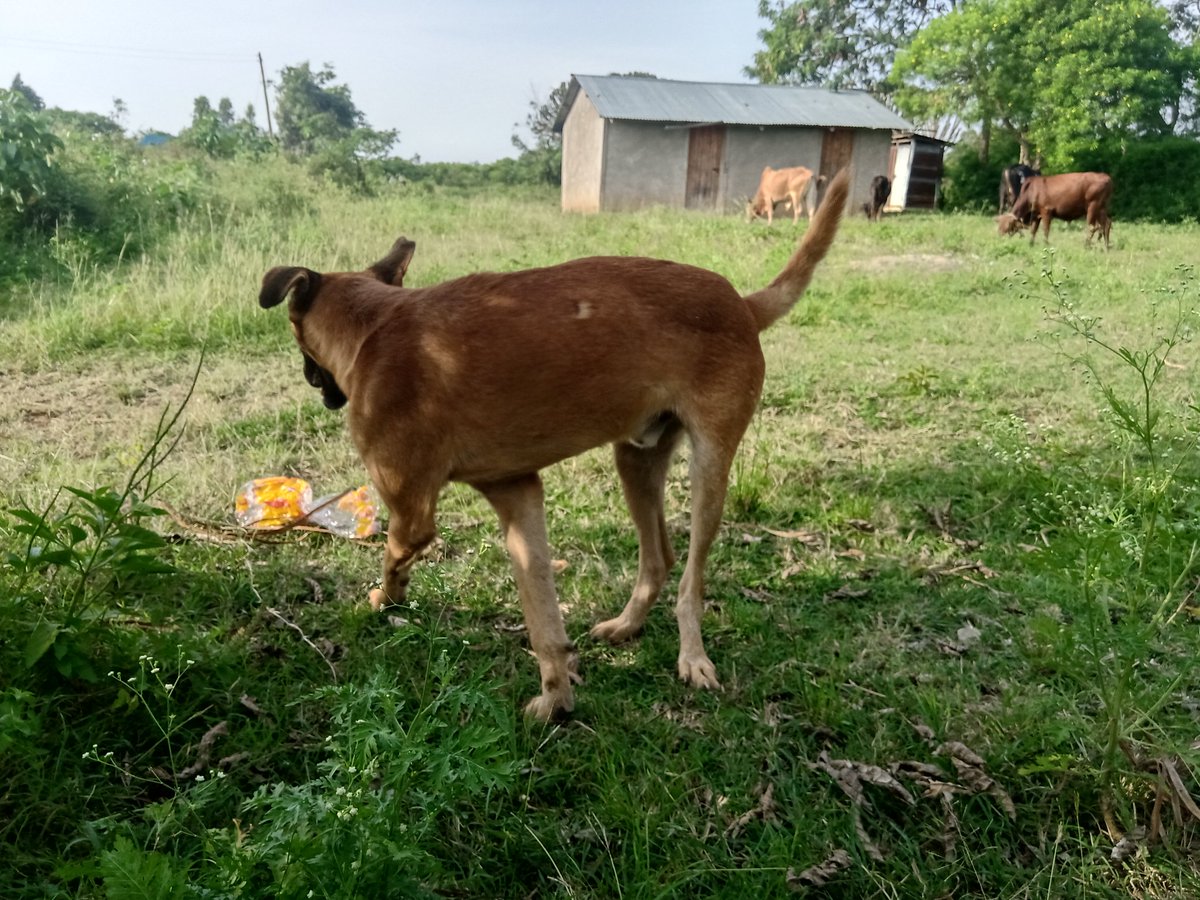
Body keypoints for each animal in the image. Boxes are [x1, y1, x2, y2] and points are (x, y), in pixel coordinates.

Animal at [258, 168, 849, 720]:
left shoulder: (410, 513)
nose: (317, 386)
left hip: (710, 468)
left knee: (691, 580)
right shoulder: (518, 492)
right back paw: (626, 625)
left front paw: (382, 601)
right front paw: (557, 695)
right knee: (659, 556)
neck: (373, 328)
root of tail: (743, 305)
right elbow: (542, 612)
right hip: (636, 459)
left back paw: (693, 657)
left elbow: (392, 560)